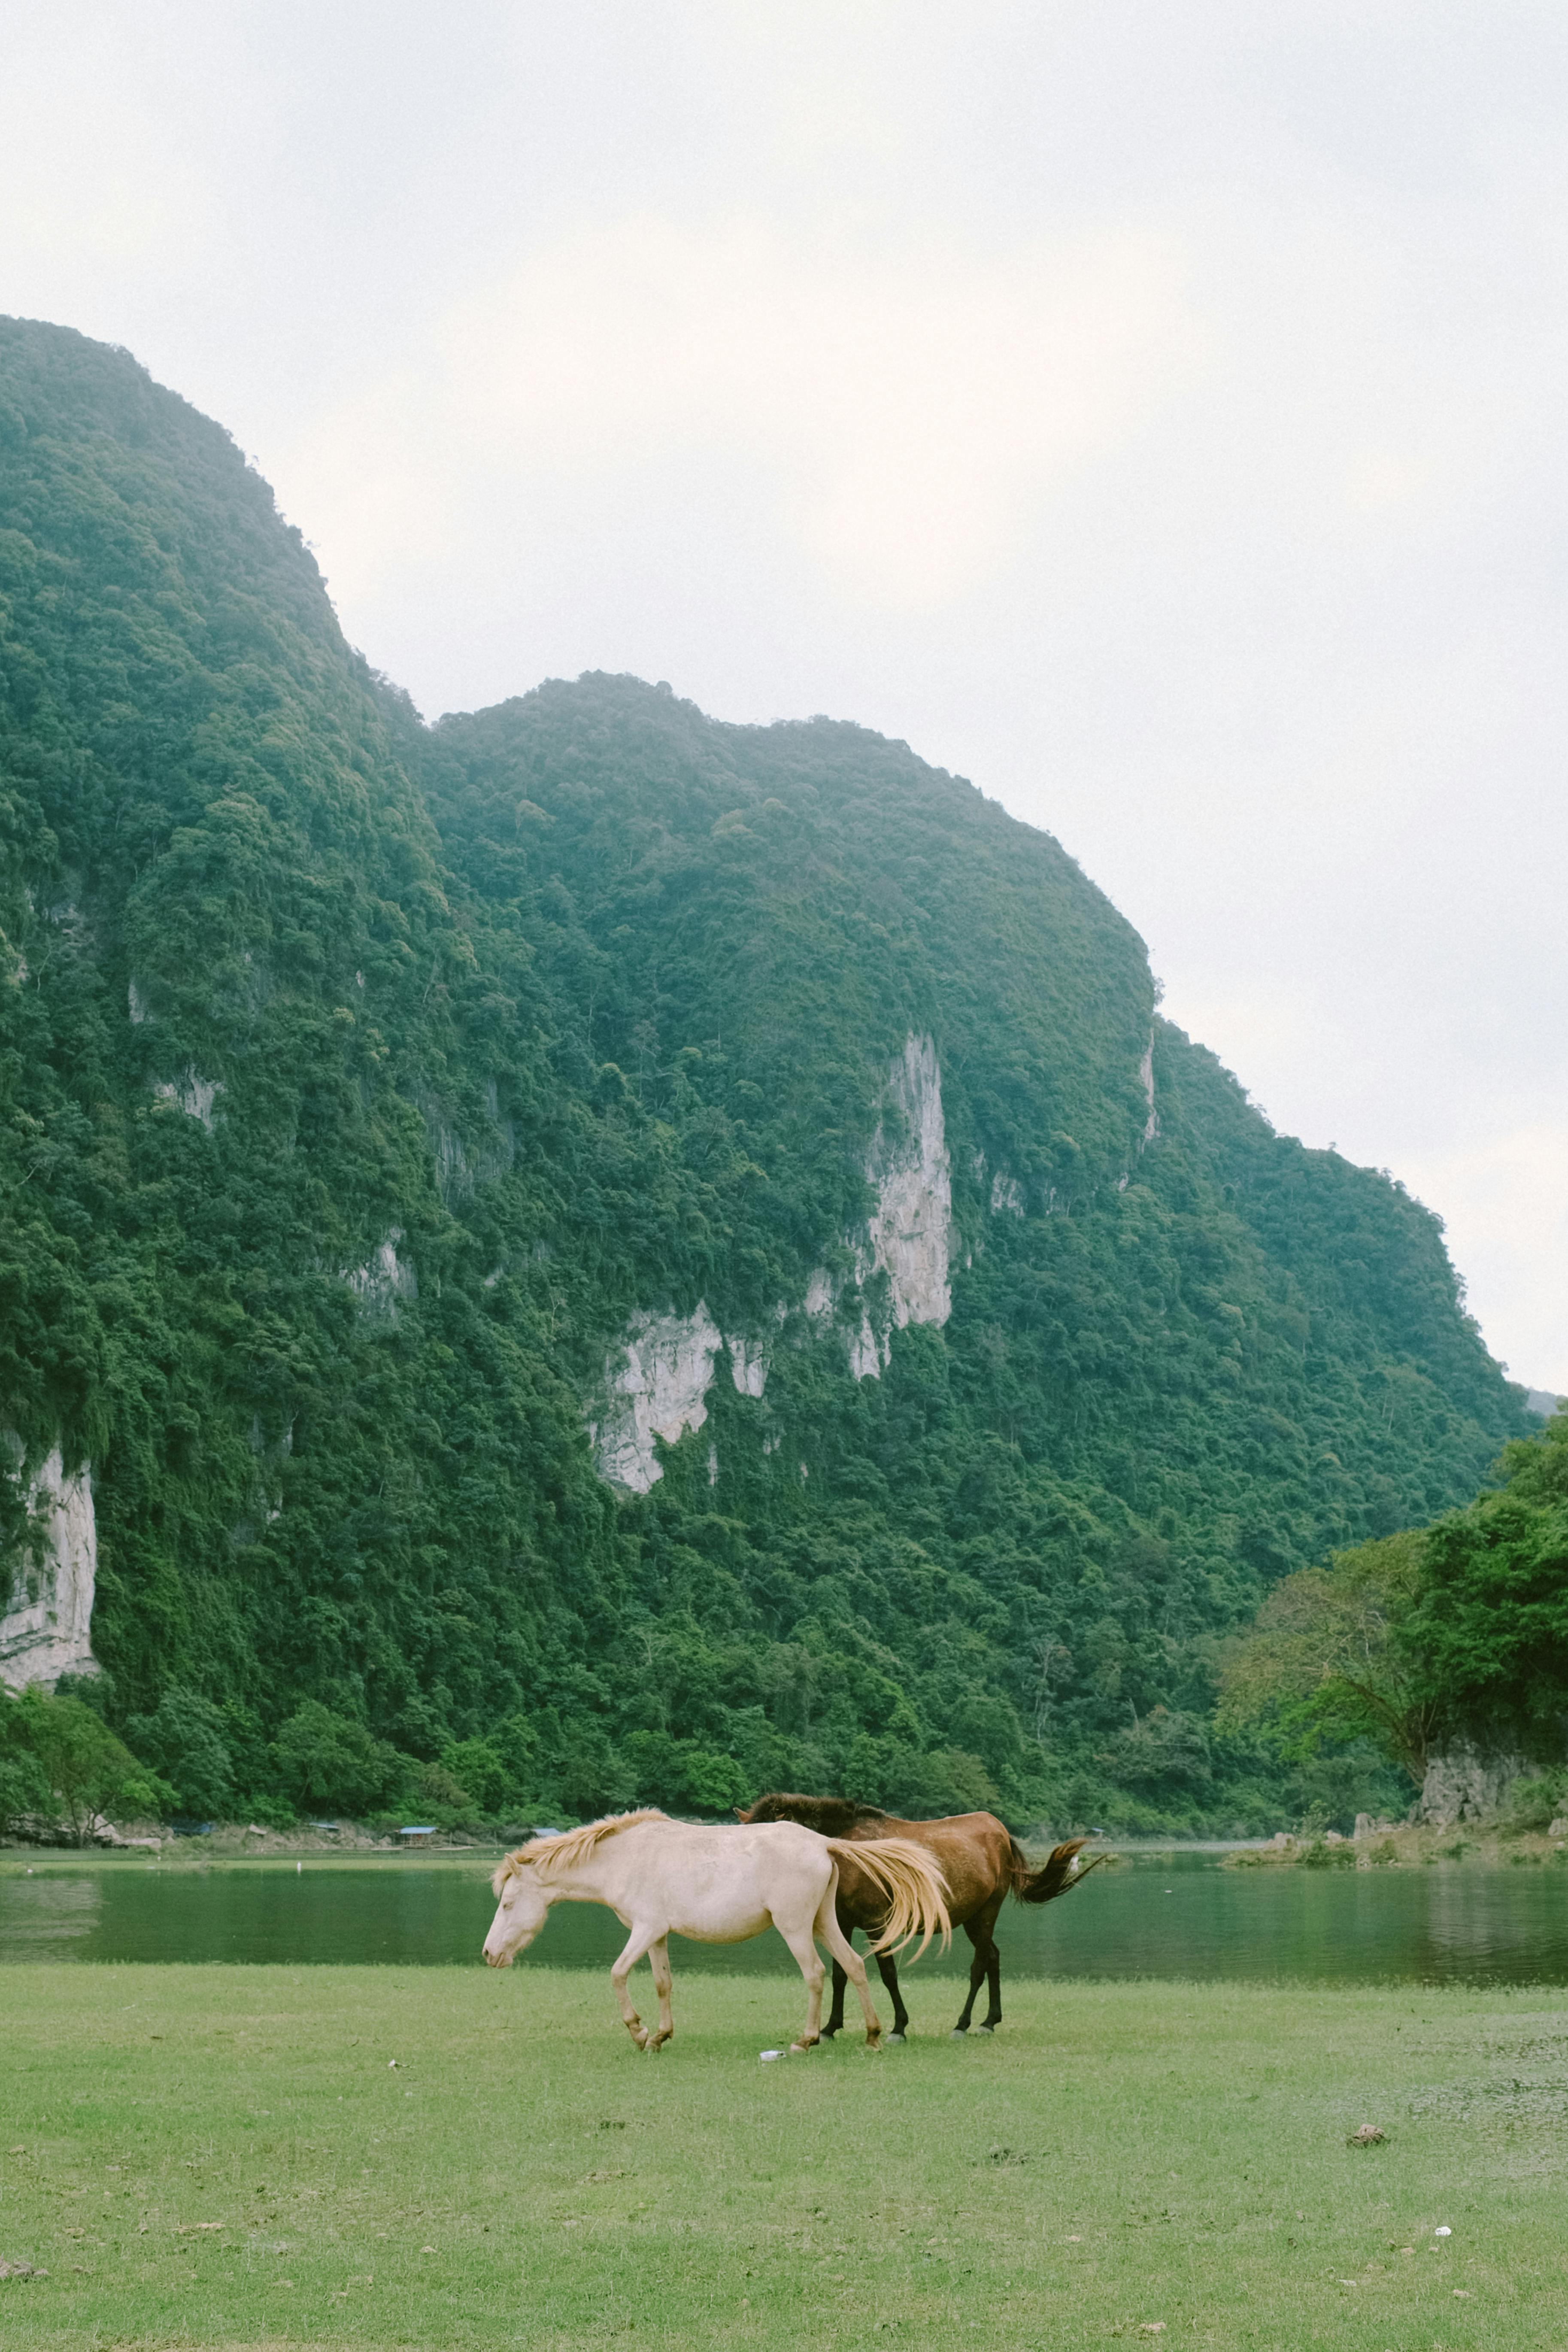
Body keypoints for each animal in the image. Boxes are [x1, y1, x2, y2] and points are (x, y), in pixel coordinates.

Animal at [482, 1806, 951, 2052]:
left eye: (507, 1904)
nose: (489, 1954)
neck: (626, 1856)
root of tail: (822, 1842)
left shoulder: (644, 1929)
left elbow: (617, 1974)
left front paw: (638, 2031)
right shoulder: (657, 1934)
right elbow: (662, 1983)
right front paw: (660, 2036)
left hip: (795, 1928)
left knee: (816, 1975)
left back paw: (805, 2039)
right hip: (822, 1923)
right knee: (853, 1966)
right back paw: (872, 2035)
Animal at [737, 1795, 1103, 2039]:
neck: (842, 1853)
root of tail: (998, 1829)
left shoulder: (877, 1923)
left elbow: (888, 1973)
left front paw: (898, 2026)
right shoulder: (841, 1922)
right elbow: (842, 1973)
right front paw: (830, 2027)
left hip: (987, 1912)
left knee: (979, 1965)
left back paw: (964, 2024)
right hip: (973, 1918)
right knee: (993, 1958)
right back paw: (989, 2020)